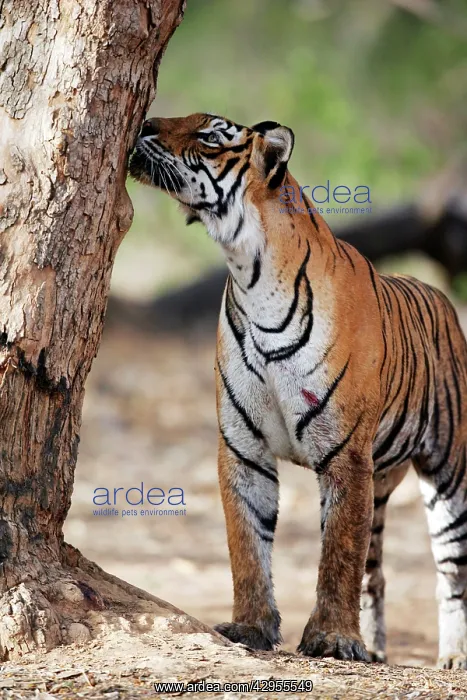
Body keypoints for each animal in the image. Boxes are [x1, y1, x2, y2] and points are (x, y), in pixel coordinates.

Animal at [129, 113, 467, 668]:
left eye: (210, 135)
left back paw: (454, 656)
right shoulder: (242, 448)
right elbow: (248, 544)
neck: (249, 273)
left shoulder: (346, 455)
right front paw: (250, 628)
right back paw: (377, 650)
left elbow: (338, 555)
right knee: (376, 569)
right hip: (381, 477)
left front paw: (330, 639)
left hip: (448, 473)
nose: (145, 123)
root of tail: (439, 294)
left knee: (452, 570)